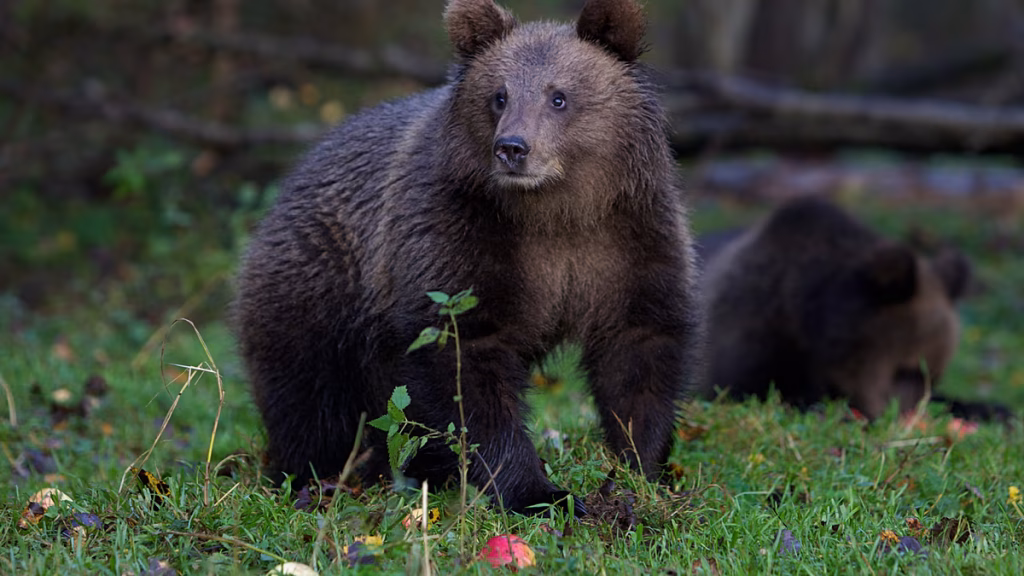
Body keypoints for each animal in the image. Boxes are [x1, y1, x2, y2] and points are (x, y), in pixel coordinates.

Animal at [233, 0, 698, 515]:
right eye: (499, 95)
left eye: (558, 97)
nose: (512, 148)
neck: (554, 213)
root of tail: (286, 189)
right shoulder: (457, 235)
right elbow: (464, 365)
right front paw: (540, 492)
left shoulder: (627, 238)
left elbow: (640, 348)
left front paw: (640, 469)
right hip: (320, 296)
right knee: (310, 400)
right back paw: (317, 474)